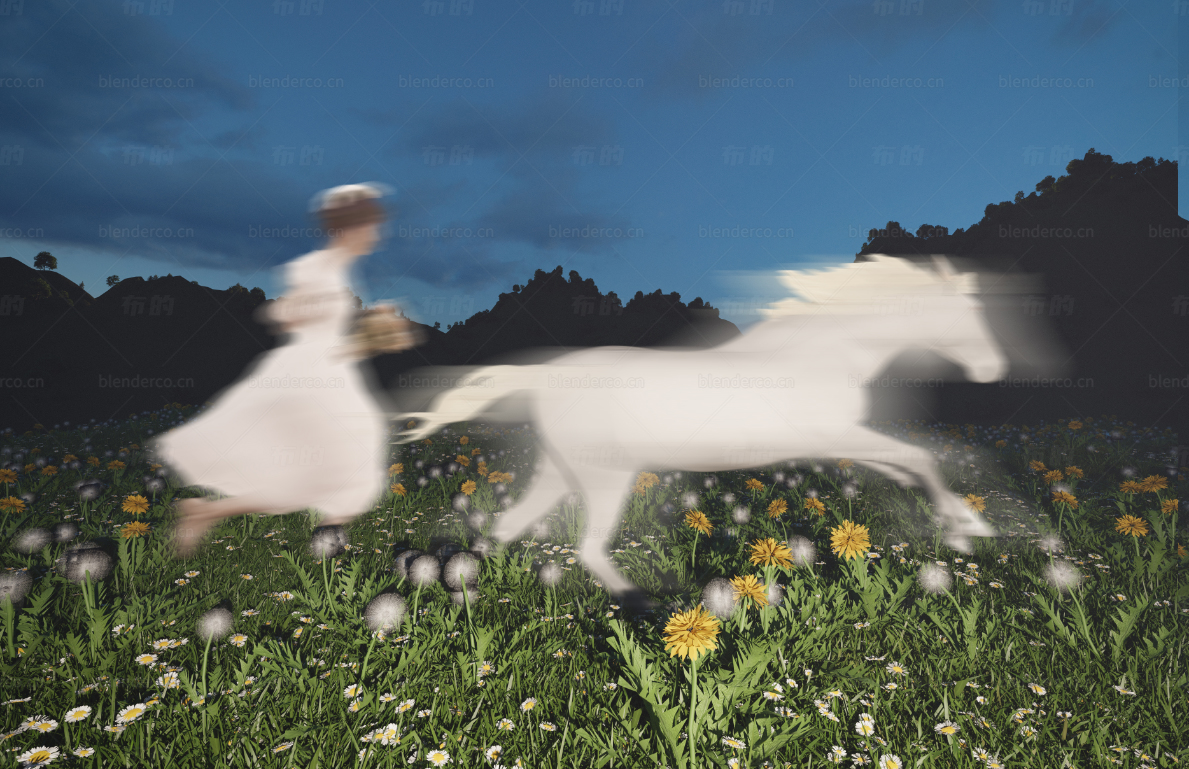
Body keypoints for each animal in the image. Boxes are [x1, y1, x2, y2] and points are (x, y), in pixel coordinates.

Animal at [394, 256, 1008, 613]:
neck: (823, 354)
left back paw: (467, 585)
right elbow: (920, 460)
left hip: (560, 470)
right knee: (587, 547)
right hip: (604, 476)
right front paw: (968, 531)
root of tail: (543, 376)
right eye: (966, 315)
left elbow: (909, 466)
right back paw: (649, 603)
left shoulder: (836, 440)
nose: (993, 369)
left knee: (506, 526)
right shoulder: (840, 434)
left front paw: (965, 527)